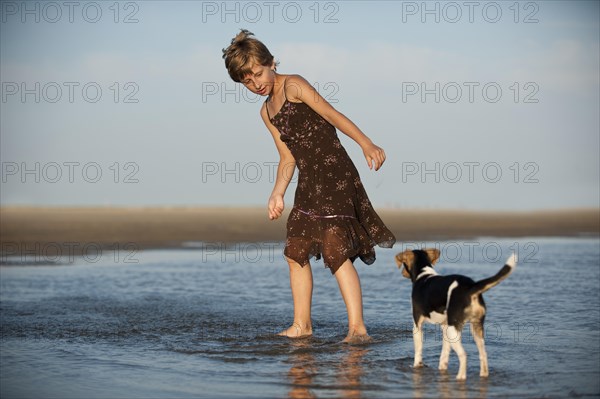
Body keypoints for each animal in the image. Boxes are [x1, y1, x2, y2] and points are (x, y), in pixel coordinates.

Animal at [394, 247, 516, 382]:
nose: (402, 273)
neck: (423, 274)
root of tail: (471, 287)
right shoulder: (444, 327)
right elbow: (444, 354)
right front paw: (442, 371)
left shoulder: (417, 325)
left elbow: (418, 352)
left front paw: (417, 368)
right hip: (475, 329)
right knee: (483, 354)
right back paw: (483, 376)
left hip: (454, 330)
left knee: (463, 355)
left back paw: (460, 377)